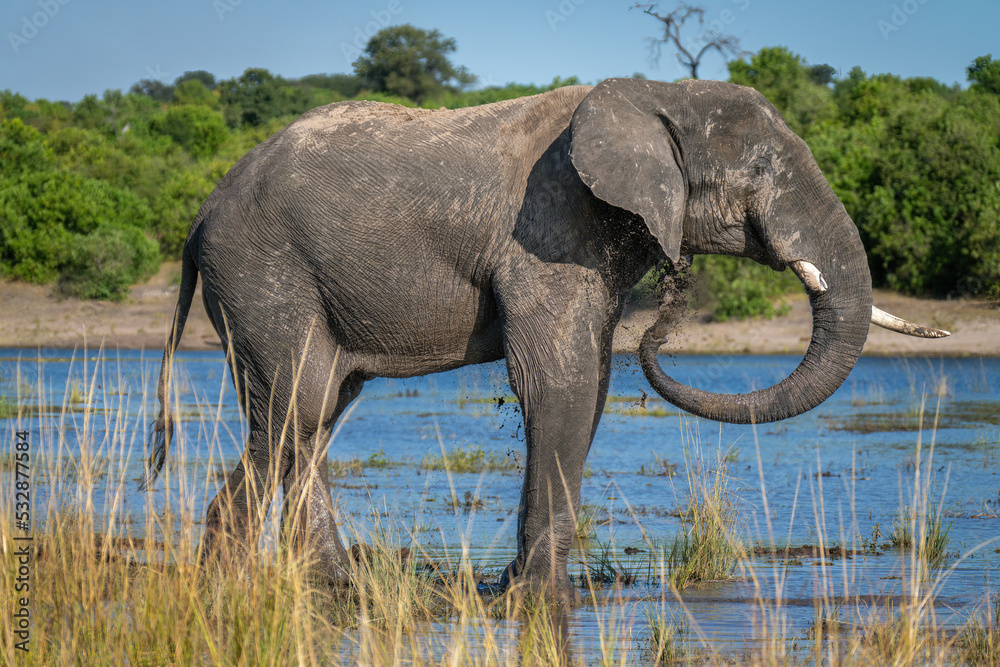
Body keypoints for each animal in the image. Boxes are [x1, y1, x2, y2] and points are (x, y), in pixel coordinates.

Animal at [140, 78, 946, 601]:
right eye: (761, 172)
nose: (674, 296)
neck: (653, 93)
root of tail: (201, 214)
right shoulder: (552, 225)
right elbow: (559, 380)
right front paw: (537, 597)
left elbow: (591, 383)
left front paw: (519, 586)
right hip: (263, 273)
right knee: (299, 412)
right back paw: (259, 577)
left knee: (313, 415)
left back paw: (311, 578)